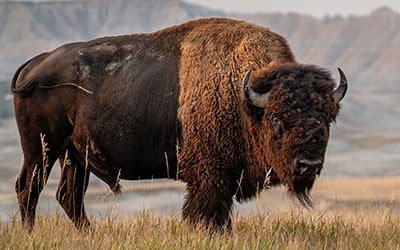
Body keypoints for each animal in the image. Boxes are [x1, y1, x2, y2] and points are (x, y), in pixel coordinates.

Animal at [10, 17, 346, 230]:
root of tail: (34, 64)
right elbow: (208, 214)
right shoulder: (210, 176)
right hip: (41, 149)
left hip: (74, 155)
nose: (308, 165)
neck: (243, 96)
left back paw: (89, 235)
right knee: (30, 188)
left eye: (327, 118)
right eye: (276, 117)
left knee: (69, 196)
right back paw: (31, 234)